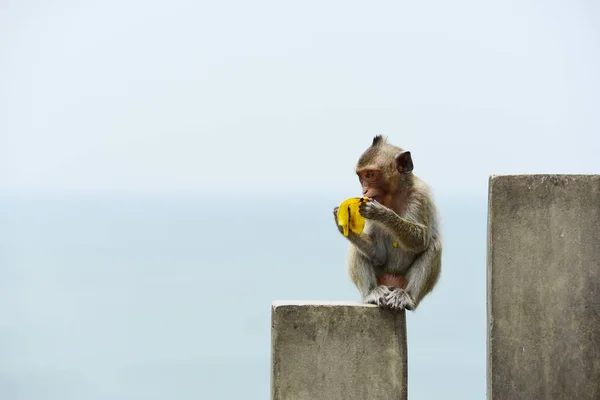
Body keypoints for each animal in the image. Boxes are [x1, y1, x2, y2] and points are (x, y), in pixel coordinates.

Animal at [332, 136, 440, 310]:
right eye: (361, 177)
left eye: (370, 175)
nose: (364, 191)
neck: (394, 195)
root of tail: (392, 282)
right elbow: (379, 254)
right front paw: (343, 220)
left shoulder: (420, 196)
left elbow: (421, 240)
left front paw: (380, 212)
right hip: (381, 278)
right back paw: (372, 293)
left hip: (404, 281)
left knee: (434, 244)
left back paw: (407, 297)